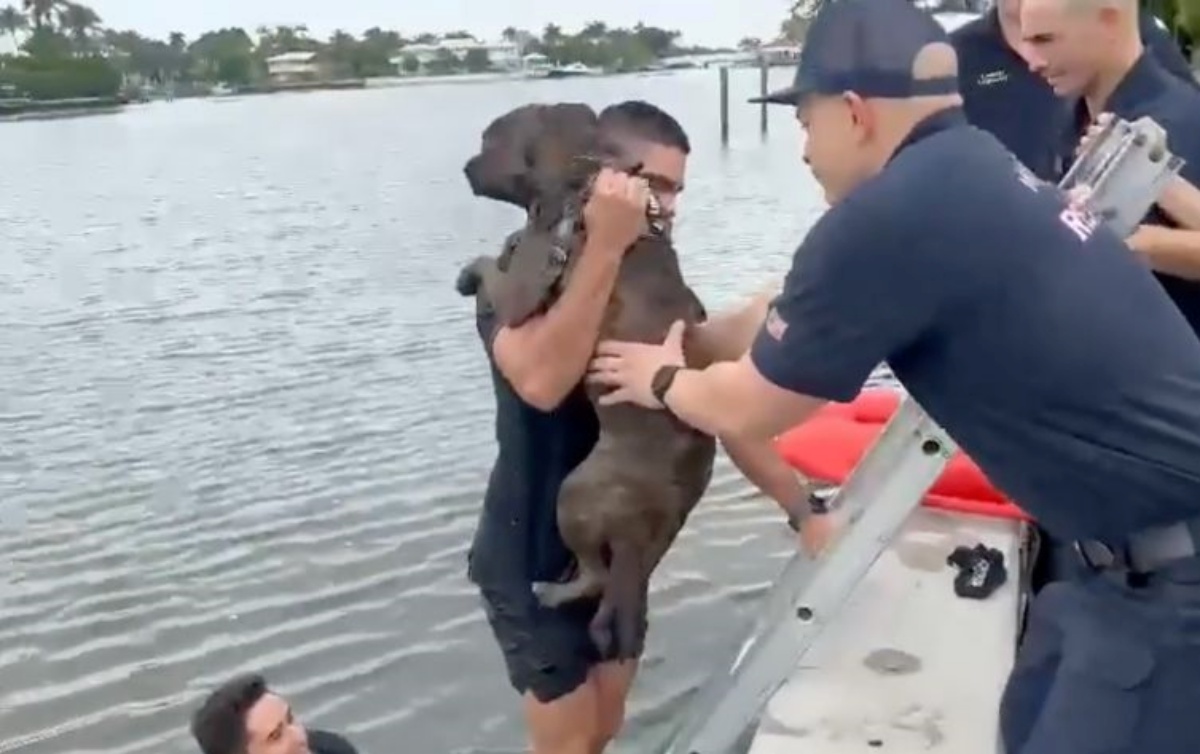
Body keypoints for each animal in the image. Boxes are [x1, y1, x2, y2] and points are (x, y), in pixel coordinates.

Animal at [458, 103, 715, 657]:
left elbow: (493, 266)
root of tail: (646, 527)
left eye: (489, 139)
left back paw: (554, 591)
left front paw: (470, 273)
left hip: (573, 493)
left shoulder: (523, 286)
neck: (585, 180)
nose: (466, 167)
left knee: (595, 576)